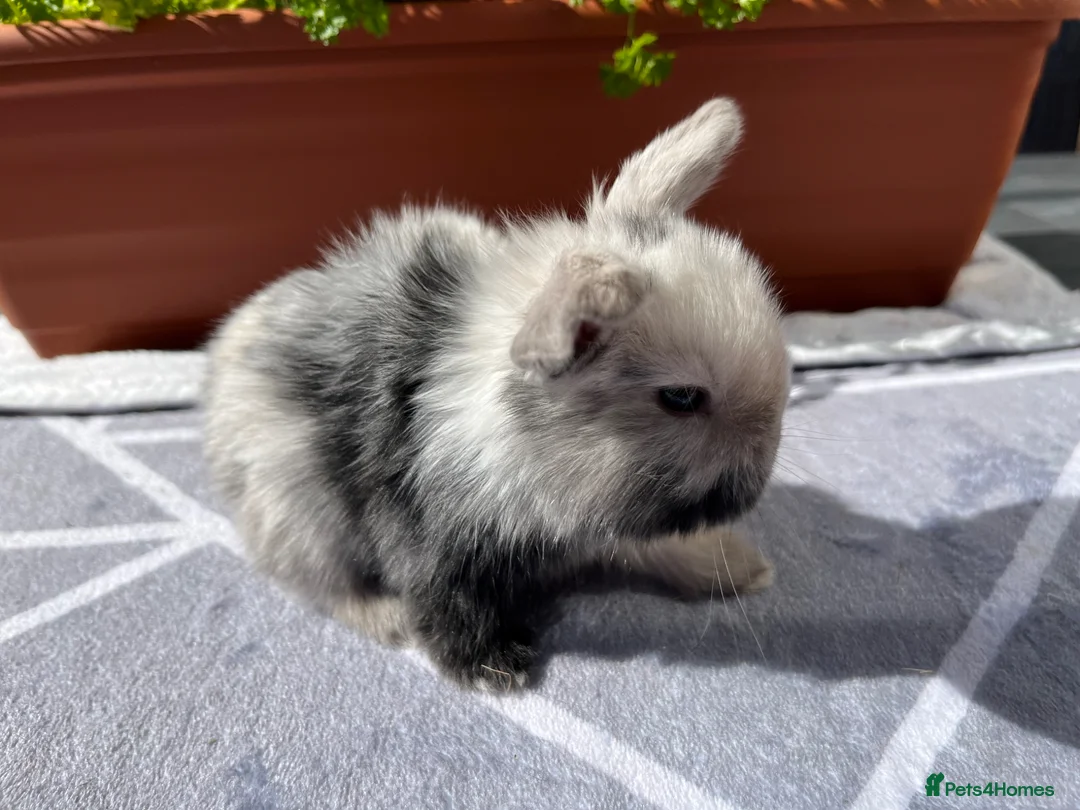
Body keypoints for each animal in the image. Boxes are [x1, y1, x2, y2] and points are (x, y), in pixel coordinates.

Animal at [201, 96, 790, 693]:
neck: (515, 441)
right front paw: (496, 670)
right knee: (326, 587)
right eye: (681, 398)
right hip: (300, 512)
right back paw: (388, 619)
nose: (762, 475)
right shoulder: (428, 537)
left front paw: (743, 567)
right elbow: (447, 599)